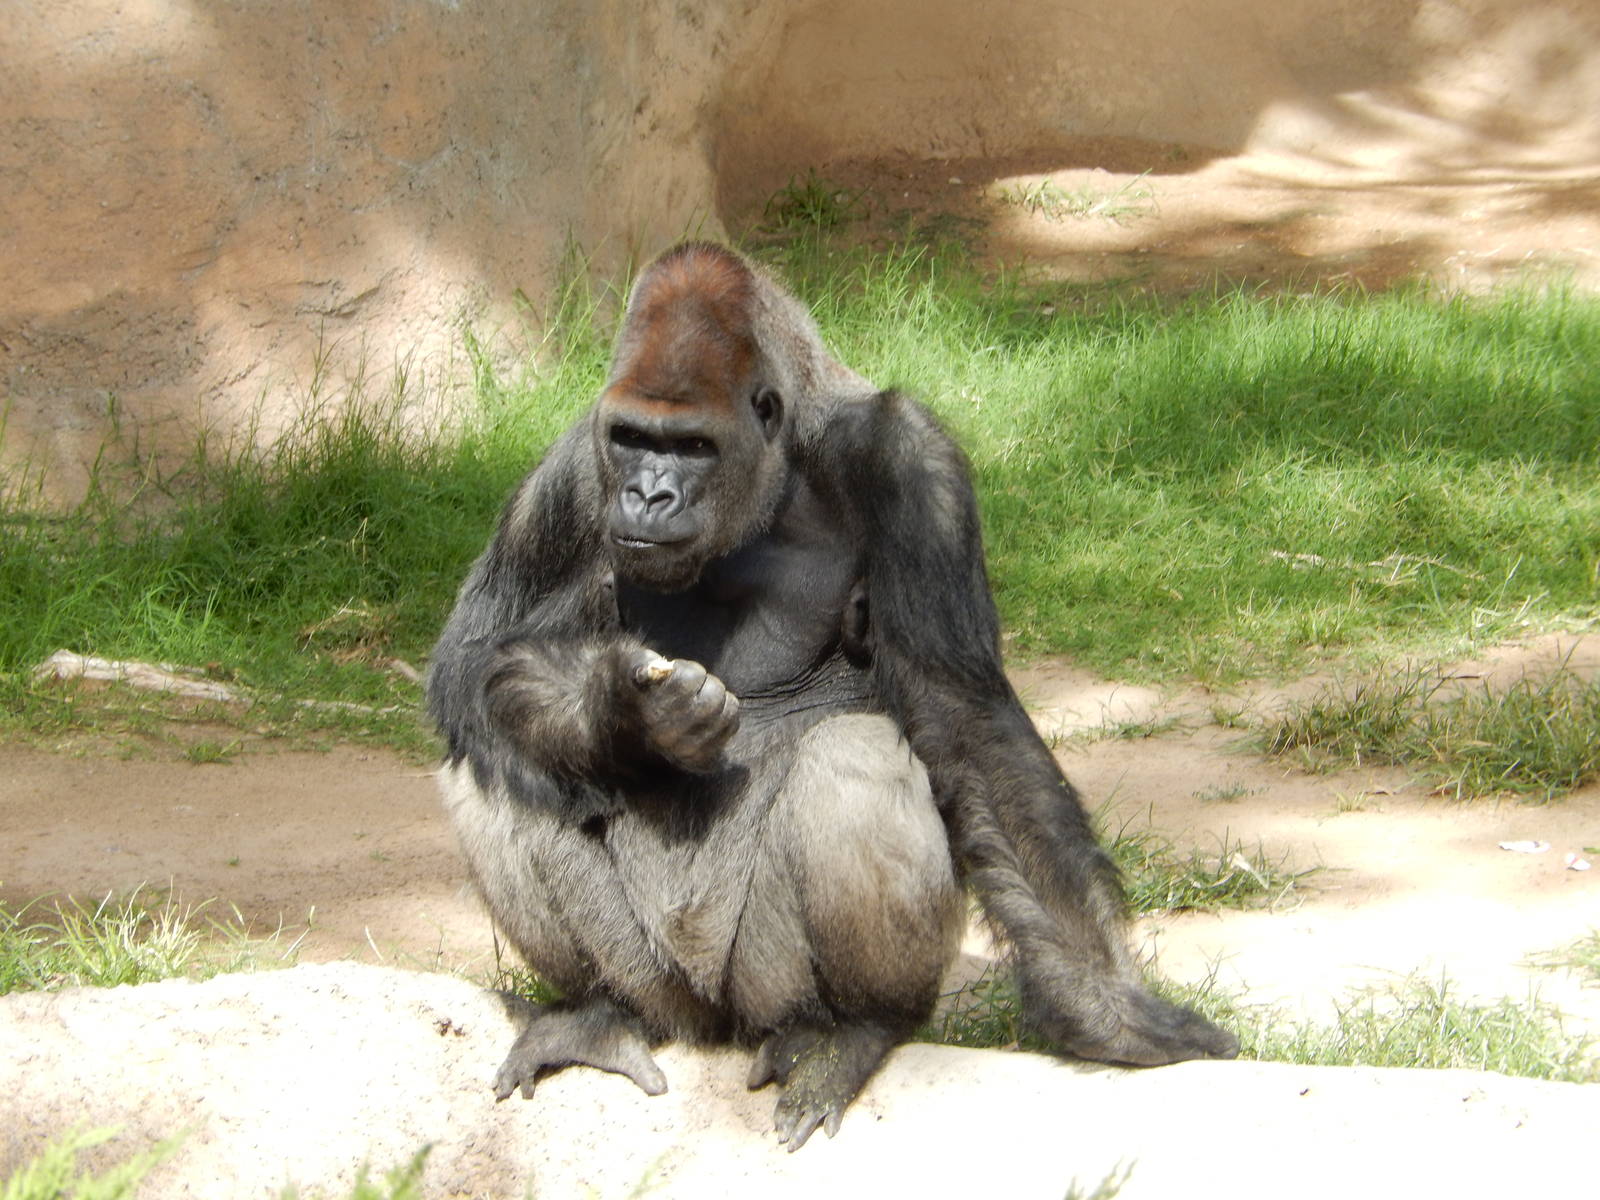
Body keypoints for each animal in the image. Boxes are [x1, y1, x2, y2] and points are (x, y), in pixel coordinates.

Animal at [426, 242, 1236, 1151]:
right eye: (633, 439)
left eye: (694, 446)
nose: (646, 495)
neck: (779, 465)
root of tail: (712, 1028)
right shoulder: (571, 467)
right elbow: (473, 662)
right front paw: (626, 710)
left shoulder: (910, 459)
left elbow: (962, 720)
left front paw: (1111, 1012)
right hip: (664, 987)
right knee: (498, 762)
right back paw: (599, 1010)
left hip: (765, 991)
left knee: (855, 758)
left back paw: (853, 1028)